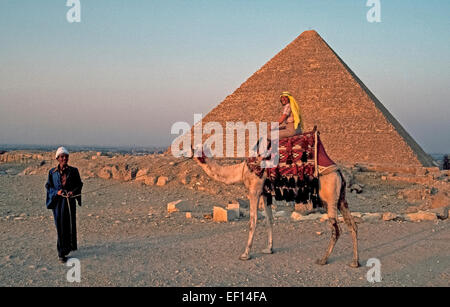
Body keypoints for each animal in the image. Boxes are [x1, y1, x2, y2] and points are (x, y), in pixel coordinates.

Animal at [192, 141, 360, 268]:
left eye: (195, 148)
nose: (187, 152)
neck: (241, 170)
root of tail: (339, 172)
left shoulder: (254, 190)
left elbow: (253, 221)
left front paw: (245, 254)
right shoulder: (266, 194)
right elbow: (269, 220)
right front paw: (269, 249)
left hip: (328, 197)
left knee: (336, 229)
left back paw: (323, 259)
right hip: (341, 197)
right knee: (352, 224)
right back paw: (355, 262)